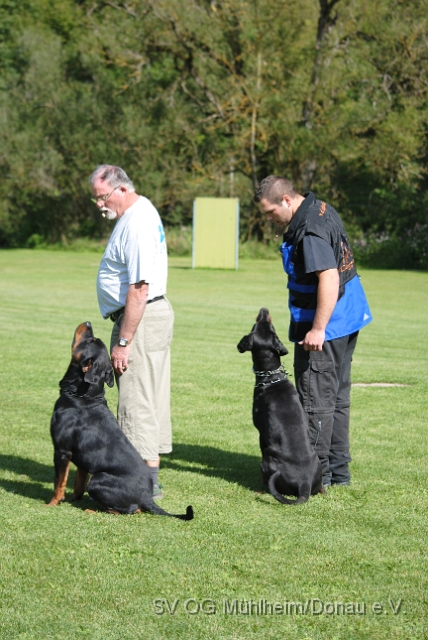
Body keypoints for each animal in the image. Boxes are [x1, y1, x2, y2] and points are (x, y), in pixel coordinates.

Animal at [47, 322, 193, 524]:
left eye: (91, 340)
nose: (88, 323)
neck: (83, 397)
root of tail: (147, 497)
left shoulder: (62, 451)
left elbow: (59, 483)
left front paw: (52, 504)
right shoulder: (83, 461)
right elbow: (77, 484)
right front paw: (73, 500)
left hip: (97, 479)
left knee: (130, 510)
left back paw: (93, 510)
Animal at [236, 308, 322, 504]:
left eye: (256, 325)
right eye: (272, 327)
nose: (264, 310)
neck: (271, 378)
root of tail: (304, 483)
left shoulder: (261, 432)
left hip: (268, 461)